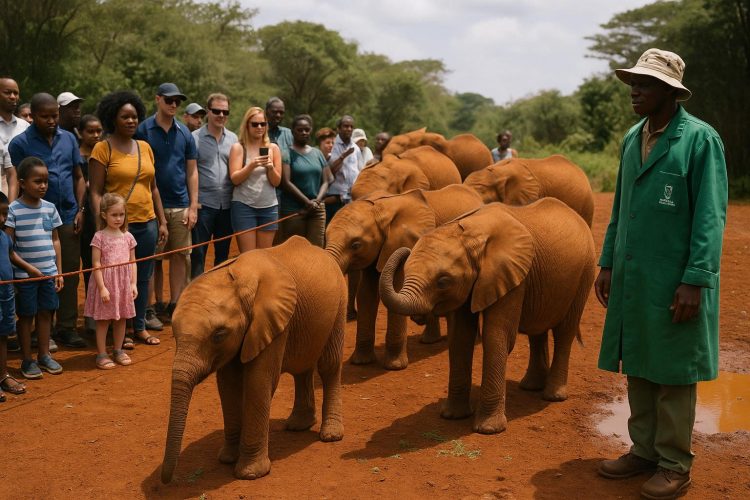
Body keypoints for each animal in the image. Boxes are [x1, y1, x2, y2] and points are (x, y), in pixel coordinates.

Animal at [161, 236, 346, 482]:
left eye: (218, 335)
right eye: (173, 334)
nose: (167, 481)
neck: (237, 281)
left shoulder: (271, 322)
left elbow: (258, 382)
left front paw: (250, 474)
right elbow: (228, 385)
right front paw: (227, 459)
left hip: (340, 302)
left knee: (329, 365)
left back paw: (331, 435)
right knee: (302, 367)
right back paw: (298, 426)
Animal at [325, 185, 484, 370]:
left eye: (356, 245)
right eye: (325, 237)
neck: (381, 209)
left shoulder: (402, 241)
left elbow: (395, 287)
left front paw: (394, 367)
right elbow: (366, 294)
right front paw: (361, 362)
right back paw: (429, 341)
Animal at [379, 199, 595, 434]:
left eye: (443, 281)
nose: (404, 249)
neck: (471, 236)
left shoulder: (511, 275)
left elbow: (496, 336)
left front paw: (488, 429)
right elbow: (461, 337)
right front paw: (452, 416)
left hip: (585, 274)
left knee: (565, 332)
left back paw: (553, 396)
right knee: (537, 330)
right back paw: (530, 387)